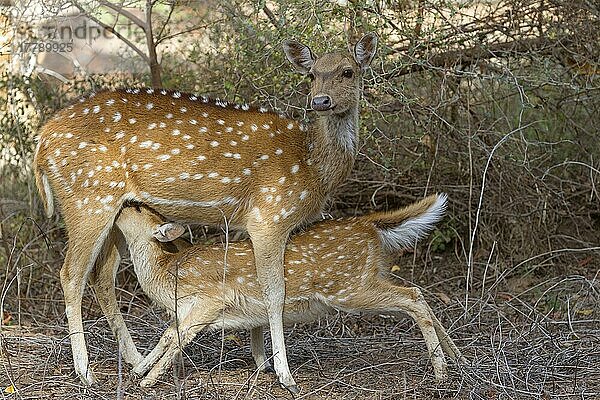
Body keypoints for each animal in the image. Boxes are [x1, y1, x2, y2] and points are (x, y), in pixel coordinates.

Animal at [32, 33, 378, 390]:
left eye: (348, 71)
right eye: (311, 75)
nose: (320, 101)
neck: (313, 168)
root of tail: (41, 142)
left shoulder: (245, 223)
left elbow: (252, 282)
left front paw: (261, 362)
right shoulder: (270, 216)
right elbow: (274, 293)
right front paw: (284, 374)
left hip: (111, 213)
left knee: (102, 276)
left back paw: (136, 362)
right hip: (88, 199)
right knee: (71, 274)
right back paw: (85, 371)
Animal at [115, 194, 462, 388]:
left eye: (137, 209)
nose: (122, 202)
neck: (166, 273)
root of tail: (369, 225)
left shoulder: (209, 300)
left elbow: (175, 335)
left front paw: (148, 380)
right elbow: (168, 333)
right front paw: (140, 370)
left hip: (350, 287)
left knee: (413, 296)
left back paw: (441, 371)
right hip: (366, 278)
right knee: (417, 292)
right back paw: (458, 358)